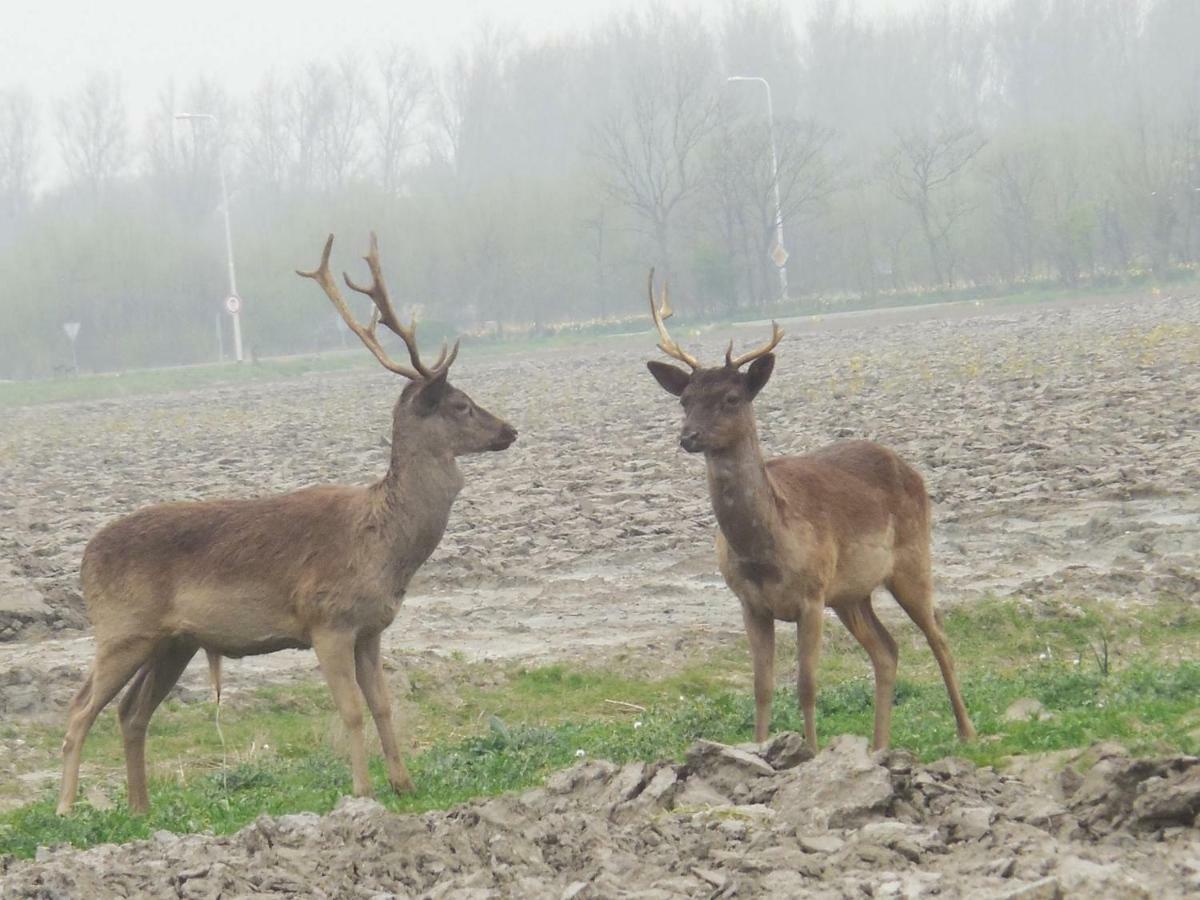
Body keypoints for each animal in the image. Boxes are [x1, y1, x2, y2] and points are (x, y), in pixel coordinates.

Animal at [56, 232, 516, 816]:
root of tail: (85, 556)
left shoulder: (370, 629)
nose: (509, 429)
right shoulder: (326, 620)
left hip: (174, 641)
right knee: (80, 706)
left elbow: (384, 705)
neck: (385, 545)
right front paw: (362, 792)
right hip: (121, 627)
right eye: (460, 404)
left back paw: (141, 809)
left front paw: (404, 783)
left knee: (131, 711)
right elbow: (350, 710)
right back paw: (66, 808)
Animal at [648, 274, 974, 753]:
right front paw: (762, 749)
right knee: (888, 650)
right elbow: (762, 687)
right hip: (852, 593)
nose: (688, 436)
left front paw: (811, 752)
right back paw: (879, 746)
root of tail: (911, 469)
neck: (766, 549)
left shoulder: (812, 594)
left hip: (912, 558)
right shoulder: (751, 603)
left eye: (731, 397)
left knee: (939, 635)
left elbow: (806, 684)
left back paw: (967, 731)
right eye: (684, 399)